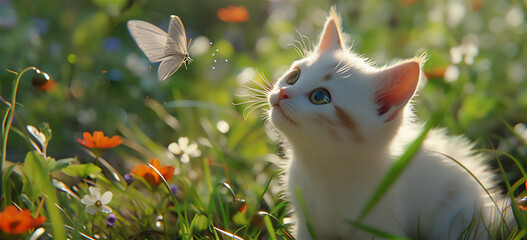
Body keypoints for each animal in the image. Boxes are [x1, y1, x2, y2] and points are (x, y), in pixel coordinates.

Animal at [268, 8, 512, 239]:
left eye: (320, 97)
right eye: (294, 76)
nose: (282, 94)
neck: (322, 171)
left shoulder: (380, 226)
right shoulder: (306, 222)